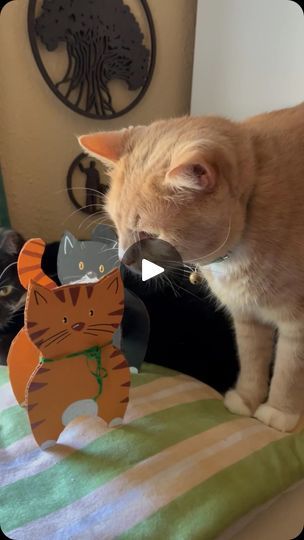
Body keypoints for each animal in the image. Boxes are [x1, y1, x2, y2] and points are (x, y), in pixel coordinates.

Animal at [78, 100, 304, 430]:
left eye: (150, 235)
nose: (124, 260)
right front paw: (246, 399)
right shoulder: (247, 318)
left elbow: (289, 371)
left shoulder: (297, 324)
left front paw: (279, 412)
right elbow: (253, 361)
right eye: (116, 225)